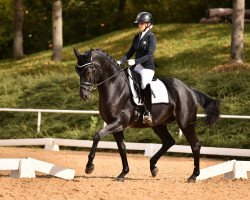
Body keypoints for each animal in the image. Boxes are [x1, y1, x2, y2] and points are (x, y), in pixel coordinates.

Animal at [73, 47, 220, 182]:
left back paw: (193, 176)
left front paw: (89, 167)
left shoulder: (119, 122)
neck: (115, 87)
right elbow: (122, 148)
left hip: (185, 123)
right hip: (158, 124)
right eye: (77, 71)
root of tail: (189, 89)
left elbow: (97, 136)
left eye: (89, 70)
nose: (84, 95)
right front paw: (123, 173)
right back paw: (153, 167)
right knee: (169, 141)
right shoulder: (115, 125)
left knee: (195, 145)